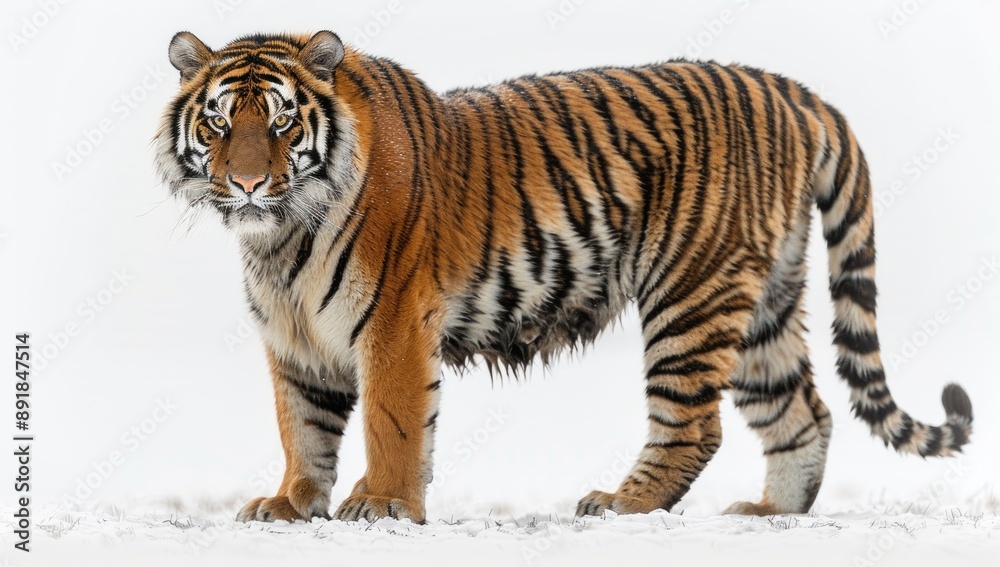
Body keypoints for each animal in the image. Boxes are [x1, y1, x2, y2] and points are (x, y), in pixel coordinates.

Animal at [156, 30, 973, 524]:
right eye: (220, 122)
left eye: (283, 122)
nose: (249, 183)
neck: (279, 239)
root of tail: (793, 90)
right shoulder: (295, 338)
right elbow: (302, 427)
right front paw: (290, 504)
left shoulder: (392, 321)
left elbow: (392, 422)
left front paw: (382, 503)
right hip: (762, 303)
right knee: (804, 410)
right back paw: (772, 515)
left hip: (691, 293)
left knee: (694, 424)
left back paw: (621, 502)